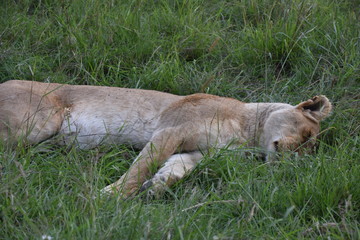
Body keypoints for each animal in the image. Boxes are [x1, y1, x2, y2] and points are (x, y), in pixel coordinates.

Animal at [0, 79, 332, 198]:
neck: (247, 132)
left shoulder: (199, 153)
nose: (293, 162)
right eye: (305, 137)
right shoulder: (171, 130)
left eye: (309, 149)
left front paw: (157, 186)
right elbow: (140, 167)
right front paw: (110, 195)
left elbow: (177, 168)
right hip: (40, 121)